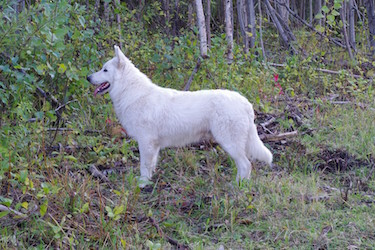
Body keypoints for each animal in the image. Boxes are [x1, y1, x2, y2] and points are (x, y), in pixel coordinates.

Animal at [86, 45, 272, 186]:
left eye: (105, 70)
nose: (88, 77)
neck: (131, 92)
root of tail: (246, 103)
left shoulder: (146, 142)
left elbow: (144, 166)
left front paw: (142, 184)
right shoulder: (153, 146)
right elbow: (151, 166)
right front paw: (149, 181)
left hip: (229, 142)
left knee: (246, 165)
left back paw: (238, 186)